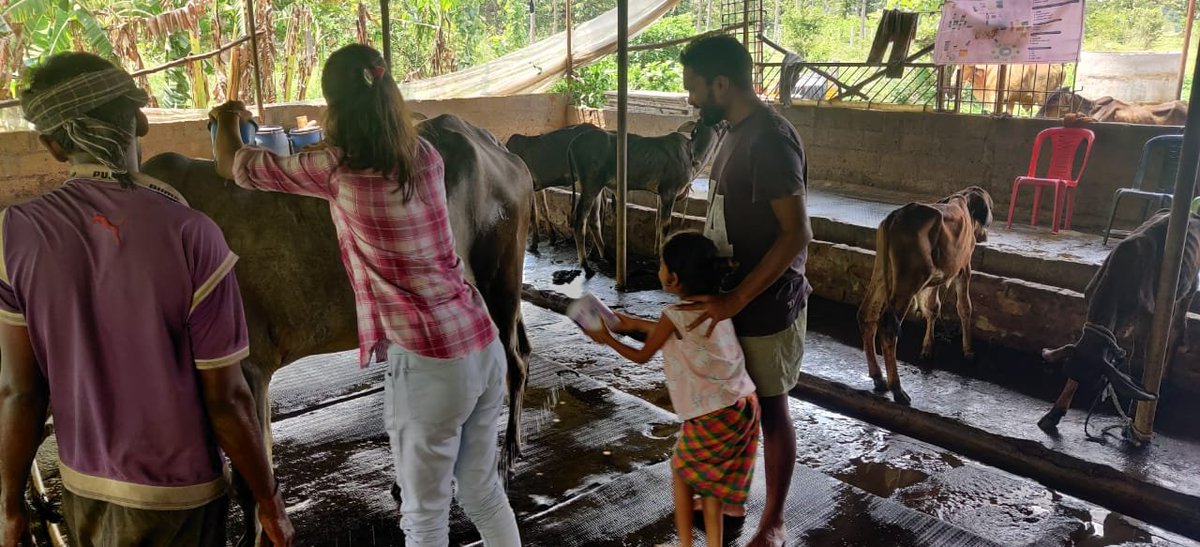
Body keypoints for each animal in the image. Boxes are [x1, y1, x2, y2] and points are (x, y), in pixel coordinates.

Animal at [859, 185, 998, 403]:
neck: (964, 201)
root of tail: (896, 216)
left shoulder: (937, 276)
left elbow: (933, 307)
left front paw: (927, 348)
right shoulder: (964, 268)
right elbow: (965, 307)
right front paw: (968, 351)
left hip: (882, 272)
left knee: (867, 315)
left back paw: (878, 377)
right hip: (910, 279)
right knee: (889, 328)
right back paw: (897, 389)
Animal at [1036, 211, 1195, 434]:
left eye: (1098, 380)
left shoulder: (1146, 321)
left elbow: (1141, 359)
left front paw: (1135, 408)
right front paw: (1054, 413)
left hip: (1189, 289)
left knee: (1178, 327)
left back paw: (1166, 379)